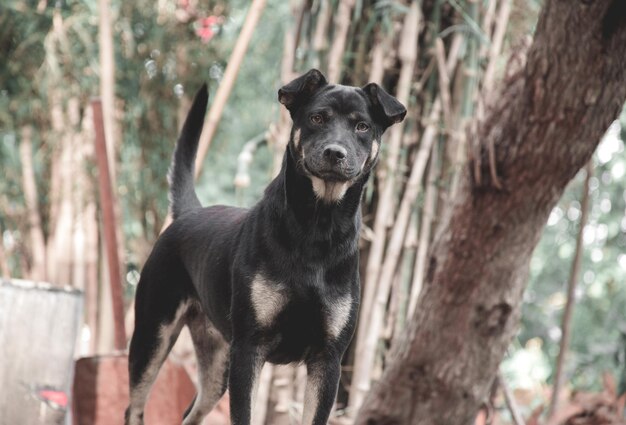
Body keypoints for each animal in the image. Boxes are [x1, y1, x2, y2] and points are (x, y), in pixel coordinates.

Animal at [125, 68, 408, 422]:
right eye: (317, 117)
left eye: (362, 126)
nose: (334, 152)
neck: (317, 227)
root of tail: (189, 212)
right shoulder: (250, 347)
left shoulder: (327, 358)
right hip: (154, 335)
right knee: (135, 406)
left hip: (216, 362)